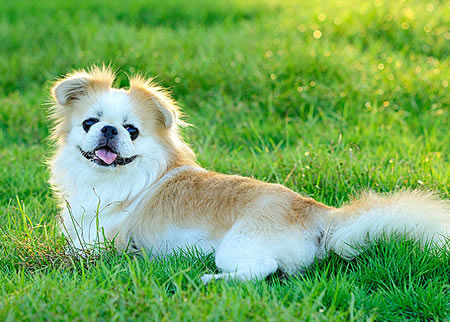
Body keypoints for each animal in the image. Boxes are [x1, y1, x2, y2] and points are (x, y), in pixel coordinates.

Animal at [47, 66, 448, 284]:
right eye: (89, 123)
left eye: (132, 131)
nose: (109, 130)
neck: (111, 180)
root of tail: (319, 212)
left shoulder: (97, 245)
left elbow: (74, 253)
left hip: (236, 246)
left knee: (263, 269)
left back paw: (211, 278)